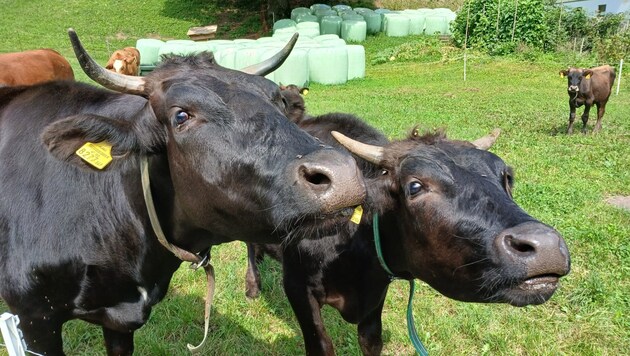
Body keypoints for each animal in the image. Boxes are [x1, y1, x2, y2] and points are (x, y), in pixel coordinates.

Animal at [246, 115, 572, 354]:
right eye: (414, 186)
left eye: (506, 176)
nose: (545, 245)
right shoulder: (297, 286)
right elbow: (321, 346)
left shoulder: (376, 291)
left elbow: (371, 341)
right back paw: (252, 286)